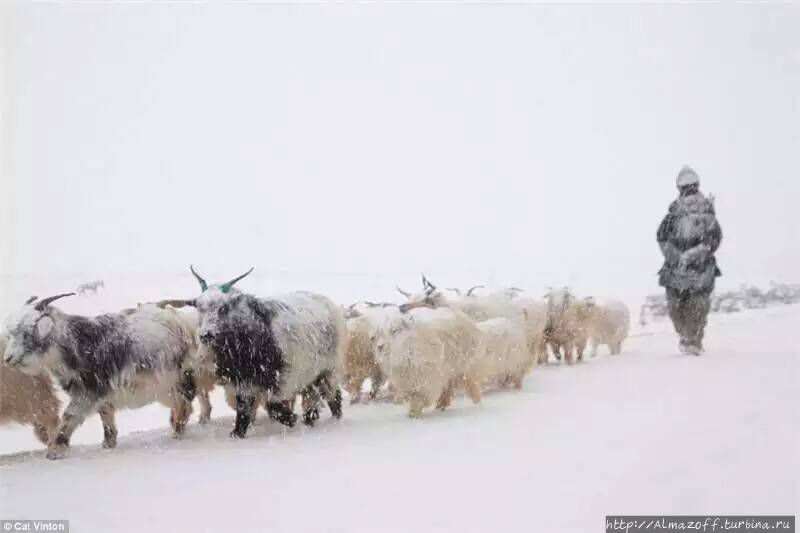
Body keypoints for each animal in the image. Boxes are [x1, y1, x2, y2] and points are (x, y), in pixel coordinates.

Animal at [3, 294, 197, 456]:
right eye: (11, 334)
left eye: (26, 333)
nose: (8, 358)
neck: (74, 344)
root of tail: (182, 323)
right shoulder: (103, 394)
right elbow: (105, 415)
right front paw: (108, 443)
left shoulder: (87, 392)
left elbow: (69, 416)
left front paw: (56, 450)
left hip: (169, 383)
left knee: (184, 404)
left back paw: (177, 432)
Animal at [177, 266, 346, 436]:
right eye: (198, 307)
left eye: (223, 308)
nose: (206, 335)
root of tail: (327, 302)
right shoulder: (243, 381)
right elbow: (243, 407)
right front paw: (237, 433)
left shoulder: (283, 378)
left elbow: (272, 406)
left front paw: (291, 418)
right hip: (312, 373)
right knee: (313, 394)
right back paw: (311, 419)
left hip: (328, 369)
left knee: (333, 395)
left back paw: (334, 419)